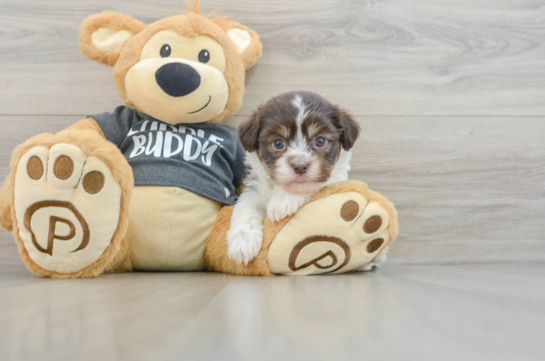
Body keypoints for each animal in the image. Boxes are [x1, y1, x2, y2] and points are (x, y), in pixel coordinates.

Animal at [226, 90, 362, 264]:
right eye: (278, 143)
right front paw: (242, 241)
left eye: (320, 140)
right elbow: (245, 207)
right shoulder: (254, 187)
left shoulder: (334, 177)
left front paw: (284, 200)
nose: (300, 166)